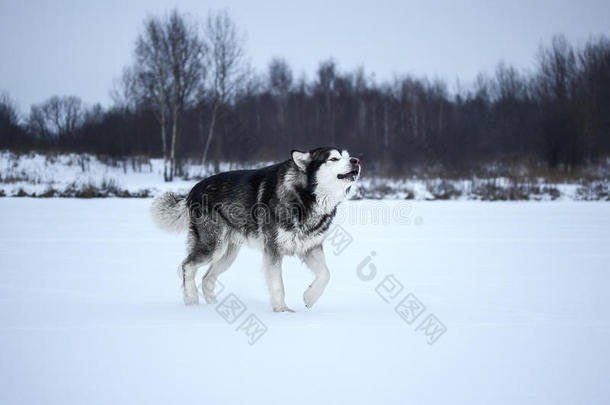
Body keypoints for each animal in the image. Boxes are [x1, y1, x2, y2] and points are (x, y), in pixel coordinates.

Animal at [151, 147, 358, 310]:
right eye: (333, 159)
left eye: (347, 156)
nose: (356, 160)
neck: (304, 196)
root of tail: (192, 190)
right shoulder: (273, 250)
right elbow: (278, 285)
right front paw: (282, 311)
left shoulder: (310, 247)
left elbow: (325, 274)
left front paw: (309, 297)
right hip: (213, 247)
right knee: (187, 266)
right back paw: (192, 301)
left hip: (227, 255)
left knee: (207, 278)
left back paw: (212, 306)